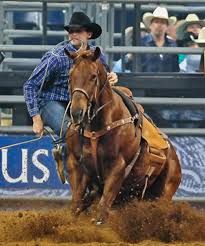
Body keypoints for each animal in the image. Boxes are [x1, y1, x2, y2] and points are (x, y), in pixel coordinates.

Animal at [63, 47, 181, 224]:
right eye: (70, 75)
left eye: (93, 76)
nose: (77, 112)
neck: (96, 127)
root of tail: (174, 157)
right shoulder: (76, 164)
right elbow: (76, 204)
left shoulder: (117, 167)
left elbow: (103, 208)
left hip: (164, 193)